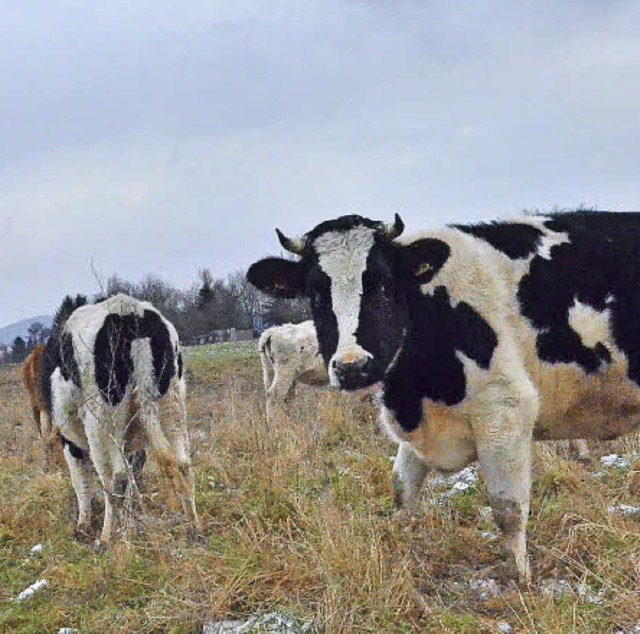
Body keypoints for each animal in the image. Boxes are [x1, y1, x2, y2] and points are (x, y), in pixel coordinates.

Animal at [41, 292, 199, 544]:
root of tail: (130, 310)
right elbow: (134, 473)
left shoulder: (70, 439)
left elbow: (81, 480)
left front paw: (83, 526)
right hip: (171, 404)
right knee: (183, 464)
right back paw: (193, 528)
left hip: (101, 417)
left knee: (115, 476)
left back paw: (106, 537)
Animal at [248, 211, 640, 584]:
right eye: (315, 294)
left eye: (385, 285)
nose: (352, 367)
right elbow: (401, 490)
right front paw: (400, 543)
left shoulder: (505, 412)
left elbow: (507, 508)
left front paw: (521, 578)